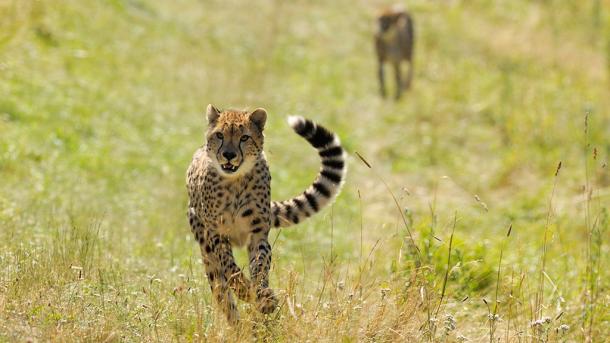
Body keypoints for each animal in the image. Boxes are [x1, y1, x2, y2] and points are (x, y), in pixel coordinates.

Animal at [185, 105, 344, 326]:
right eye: (219, 135)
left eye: (244, 137)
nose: (228, 154)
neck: (235, 181)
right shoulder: (216, 234)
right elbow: (231, 269)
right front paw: (247, 292)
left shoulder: (257, 233)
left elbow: (260, 265)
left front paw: (264, 298)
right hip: (207, 253)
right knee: (223, 294)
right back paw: (238, 325)